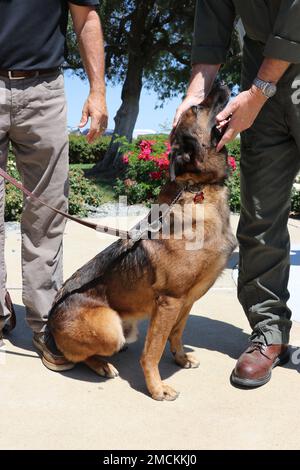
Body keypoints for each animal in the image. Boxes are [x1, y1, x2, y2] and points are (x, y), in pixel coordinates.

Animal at [48, 83, 237, 400]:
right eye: (197, 107)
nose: (223, 83)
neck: (197, 187)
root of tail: (50, 320)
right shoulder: (169, 301)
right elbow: (152, 351)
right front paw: (156, 388)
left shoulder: (187, 299)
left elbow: (176, 334)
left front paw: (180, 358)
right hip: (110, 327)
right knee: (80, 356)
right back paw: (101, 365)